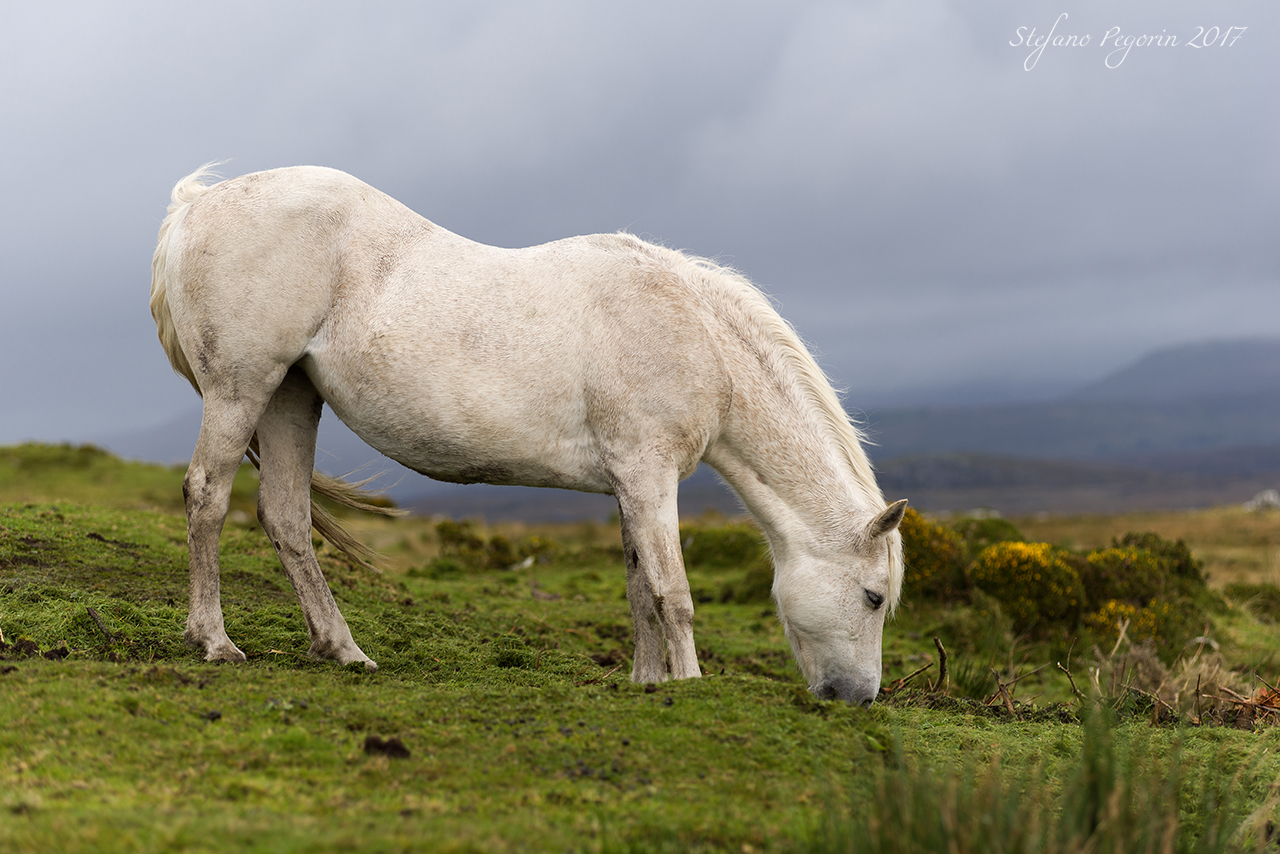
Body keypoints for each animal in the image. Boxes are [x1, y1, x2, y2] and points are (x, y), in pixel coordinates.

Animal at [150, 165, 906, 705]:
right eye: (874, 598)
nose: (858, 699)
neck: (693, 332)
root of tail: (198, 203)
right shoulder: (650, 475)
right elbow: (672, 591)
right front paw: (688, 686)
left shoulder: (629, 484)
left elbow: (638, 585)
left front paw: (647, 682)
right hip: (241, 390)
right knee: (207, 496)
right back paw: (214, 641)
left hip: (290, 398)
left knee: (285, 517)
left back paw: (344, 649)